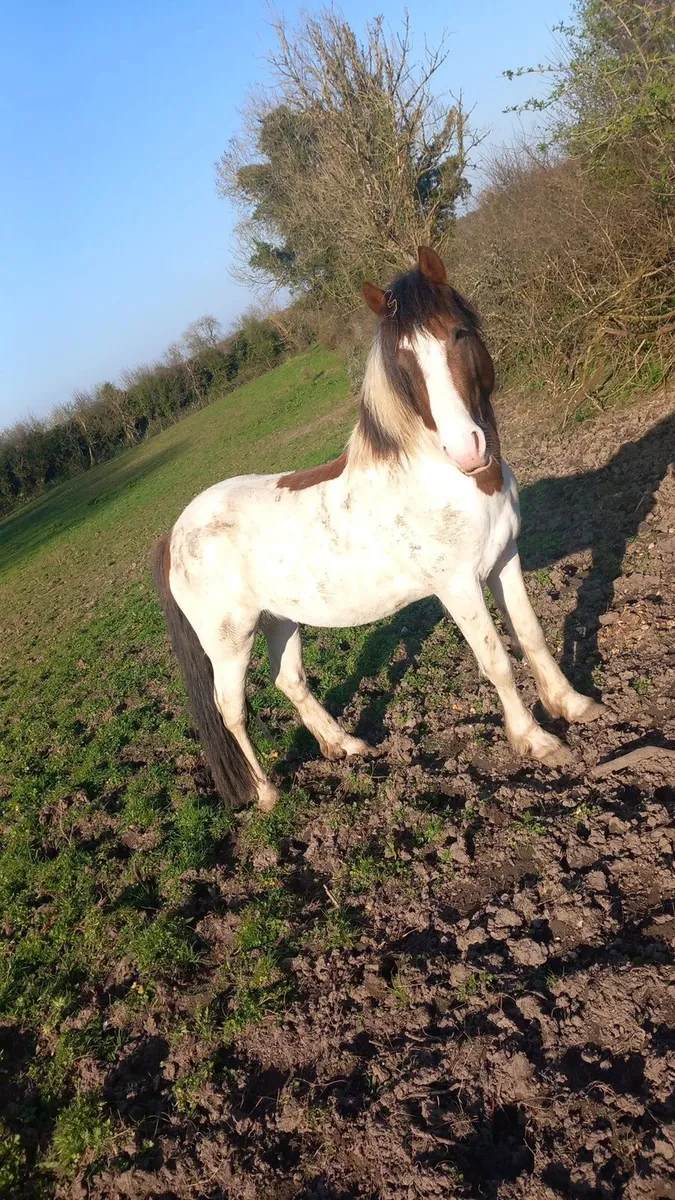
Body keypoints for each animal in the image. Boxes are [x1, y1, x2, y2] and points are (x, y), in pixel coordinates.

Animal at [153, 246, 604, 811]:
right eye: (405, 364)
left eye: (458, 333)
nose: (467, 449)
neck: (447, 479)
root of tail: (174, 534)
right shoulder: (457, 586)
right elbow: (496, 658)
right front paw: (536, 740)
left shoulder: (505, 559)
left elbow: (531, 633)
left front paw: (573, 704)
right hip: (229, 643)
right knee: (231, 710)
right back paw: (267, 793)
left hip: (281, 619)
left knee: (290, 681)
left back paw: (346, 745)